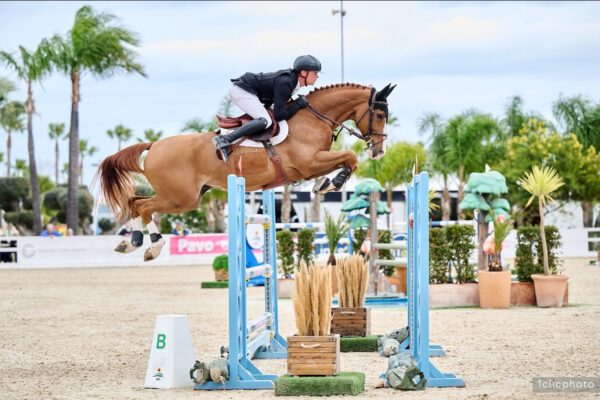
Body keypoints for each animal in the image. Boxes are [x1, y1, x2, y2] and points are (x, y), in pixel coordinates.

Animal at [96, 83, 396, 260]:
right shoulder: (309, 162)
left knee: (134, 202)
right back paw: (153, 246)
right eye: (381, 115)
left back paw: (131, 242)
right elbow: (350, 157)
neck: (312, 118)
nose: (379, 151)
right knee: (143, 206)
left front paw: (324, 184)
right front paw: (333, 183)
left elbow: (344, 161)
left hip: (184, 197)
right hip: (180, 198)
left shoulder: (312, 165)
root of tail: (154, 145)